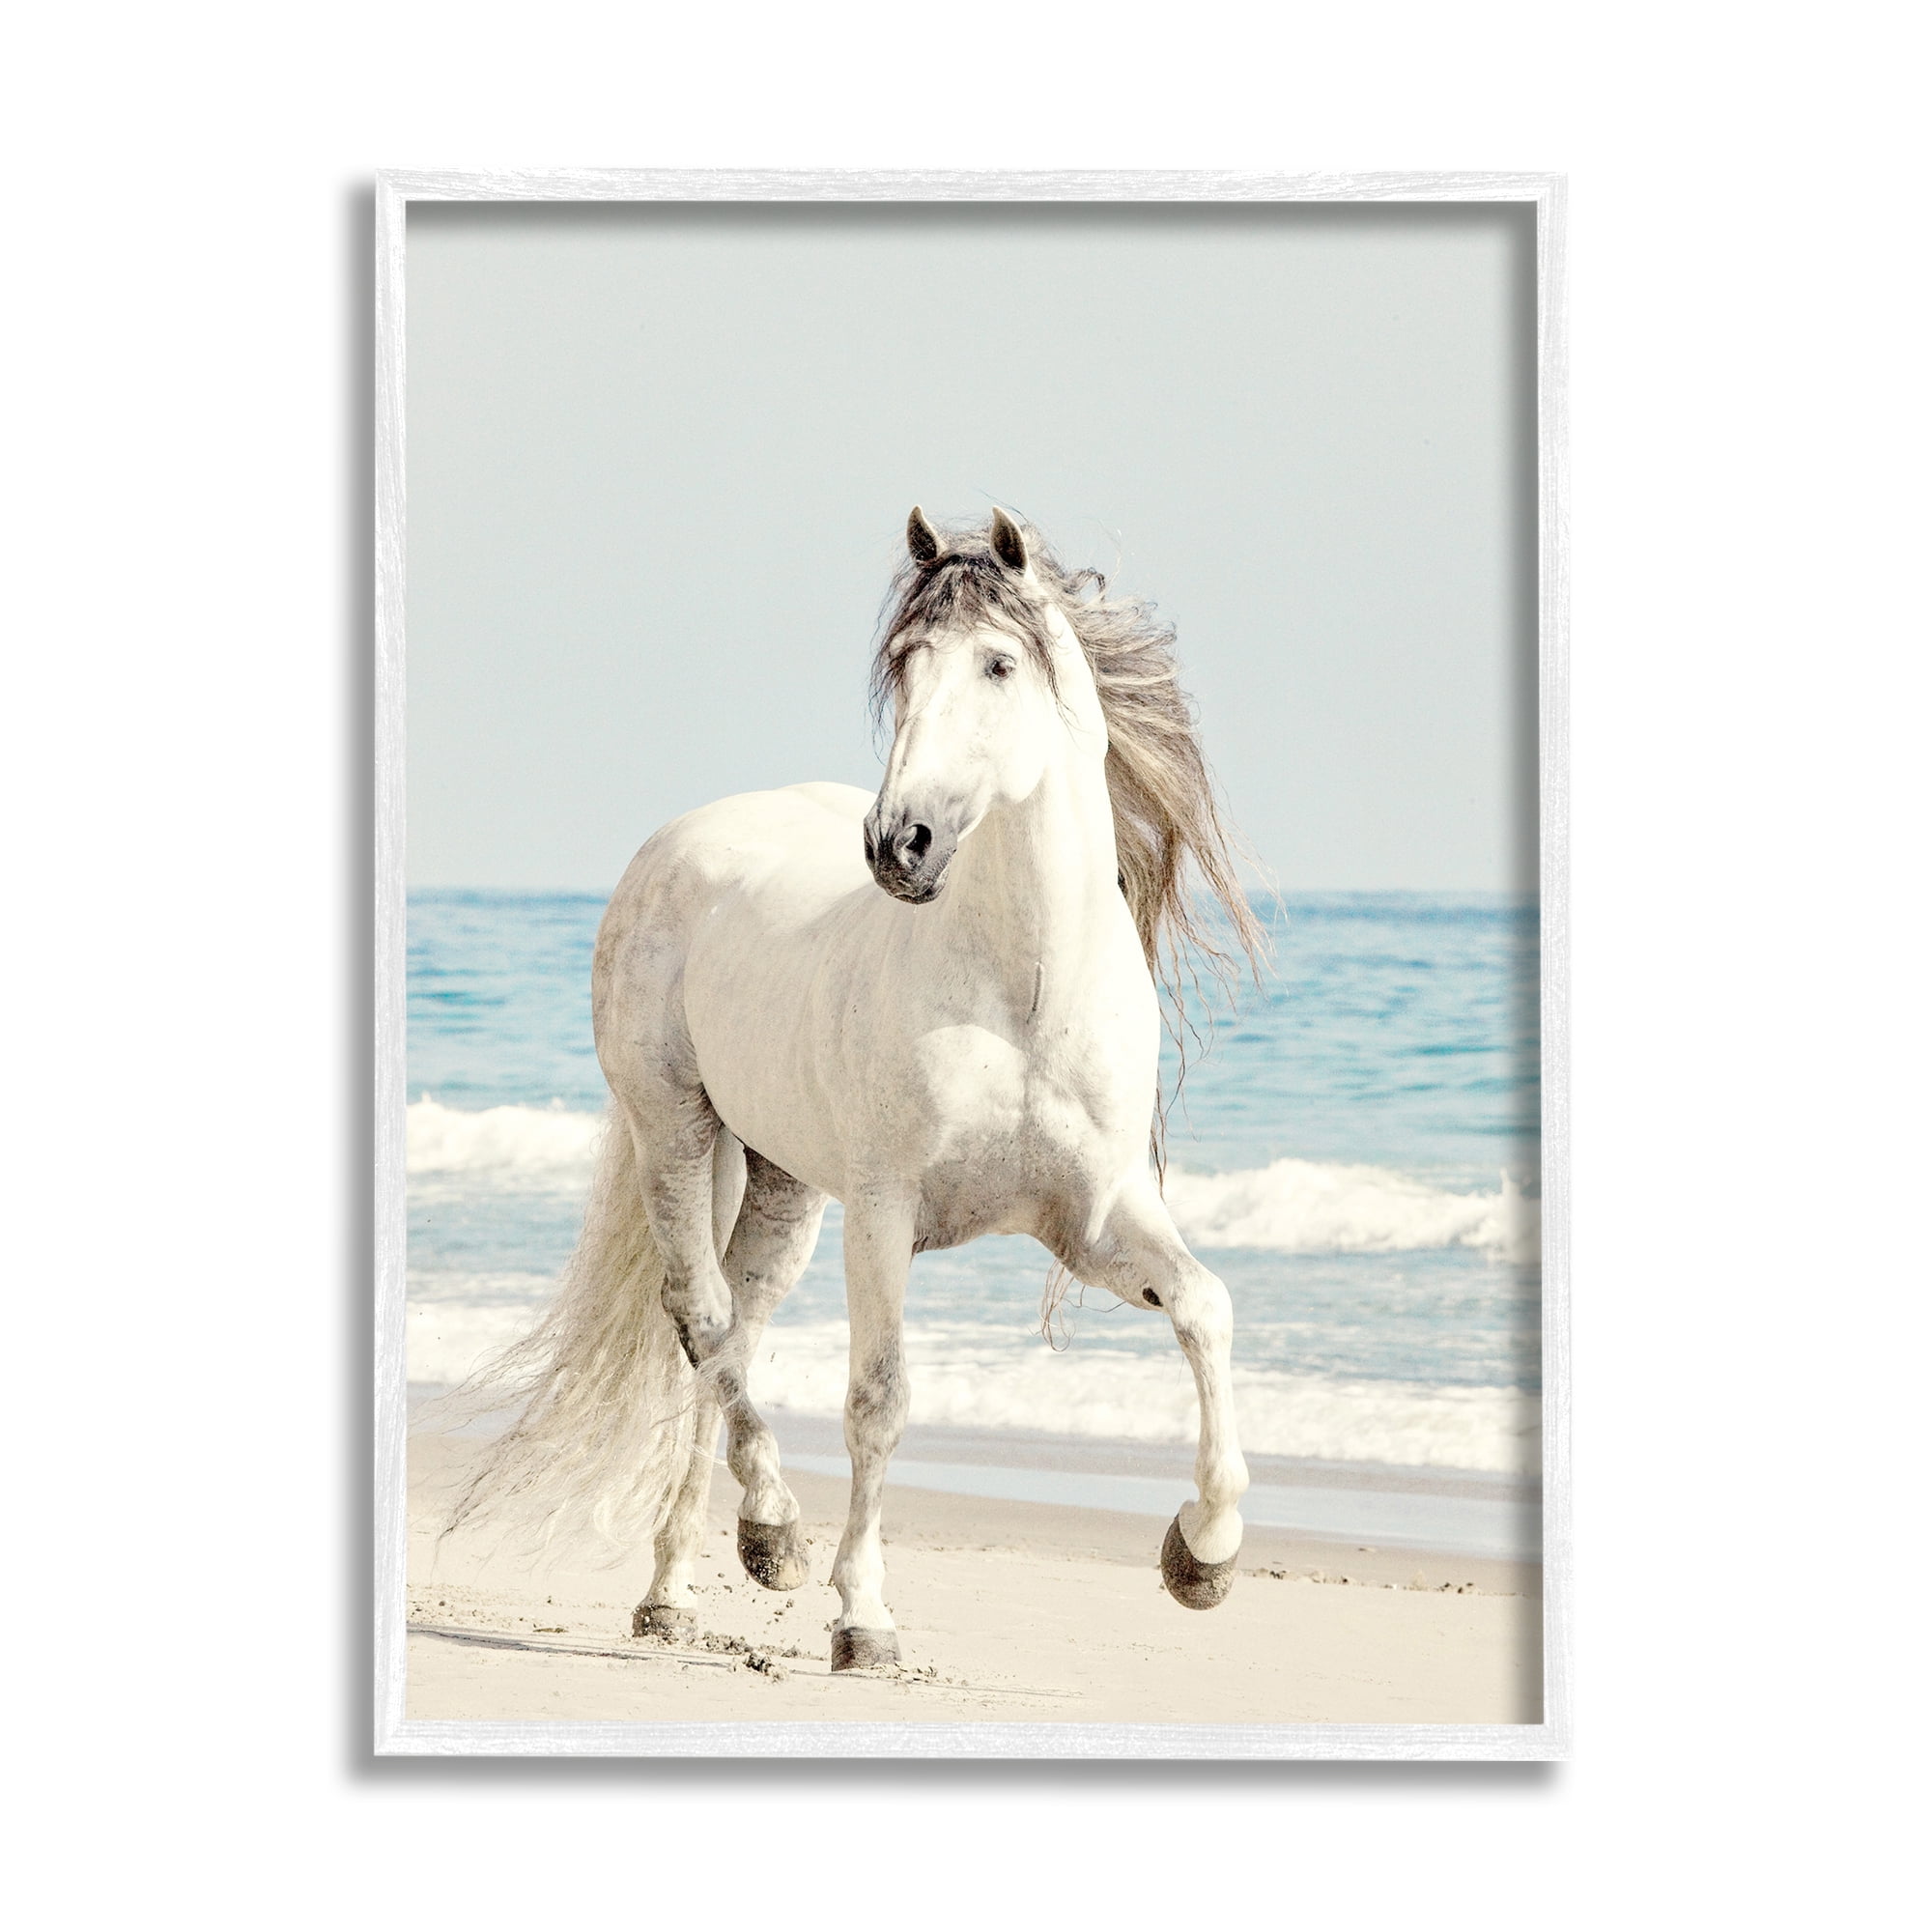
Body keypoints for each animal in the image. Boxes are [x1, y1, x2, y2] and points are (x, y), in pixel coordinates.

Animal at [447, 505, 1266, 1671]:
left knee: (734, 1329)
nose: (898, 844)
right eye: (904, 661)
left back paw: (682, 1588)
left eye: (999, 662)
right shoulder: (885, 1214)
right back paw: (771, 1537)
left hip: (785, 1184)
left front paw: (1202, 1555)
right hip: (677, 1132)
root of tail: (680, 839)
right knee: (702, 1319)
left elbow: (1204, 1306)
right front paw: (862, 1619)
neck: (1021, 991)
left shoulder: (1094, 1219)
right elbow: (879, 1399)